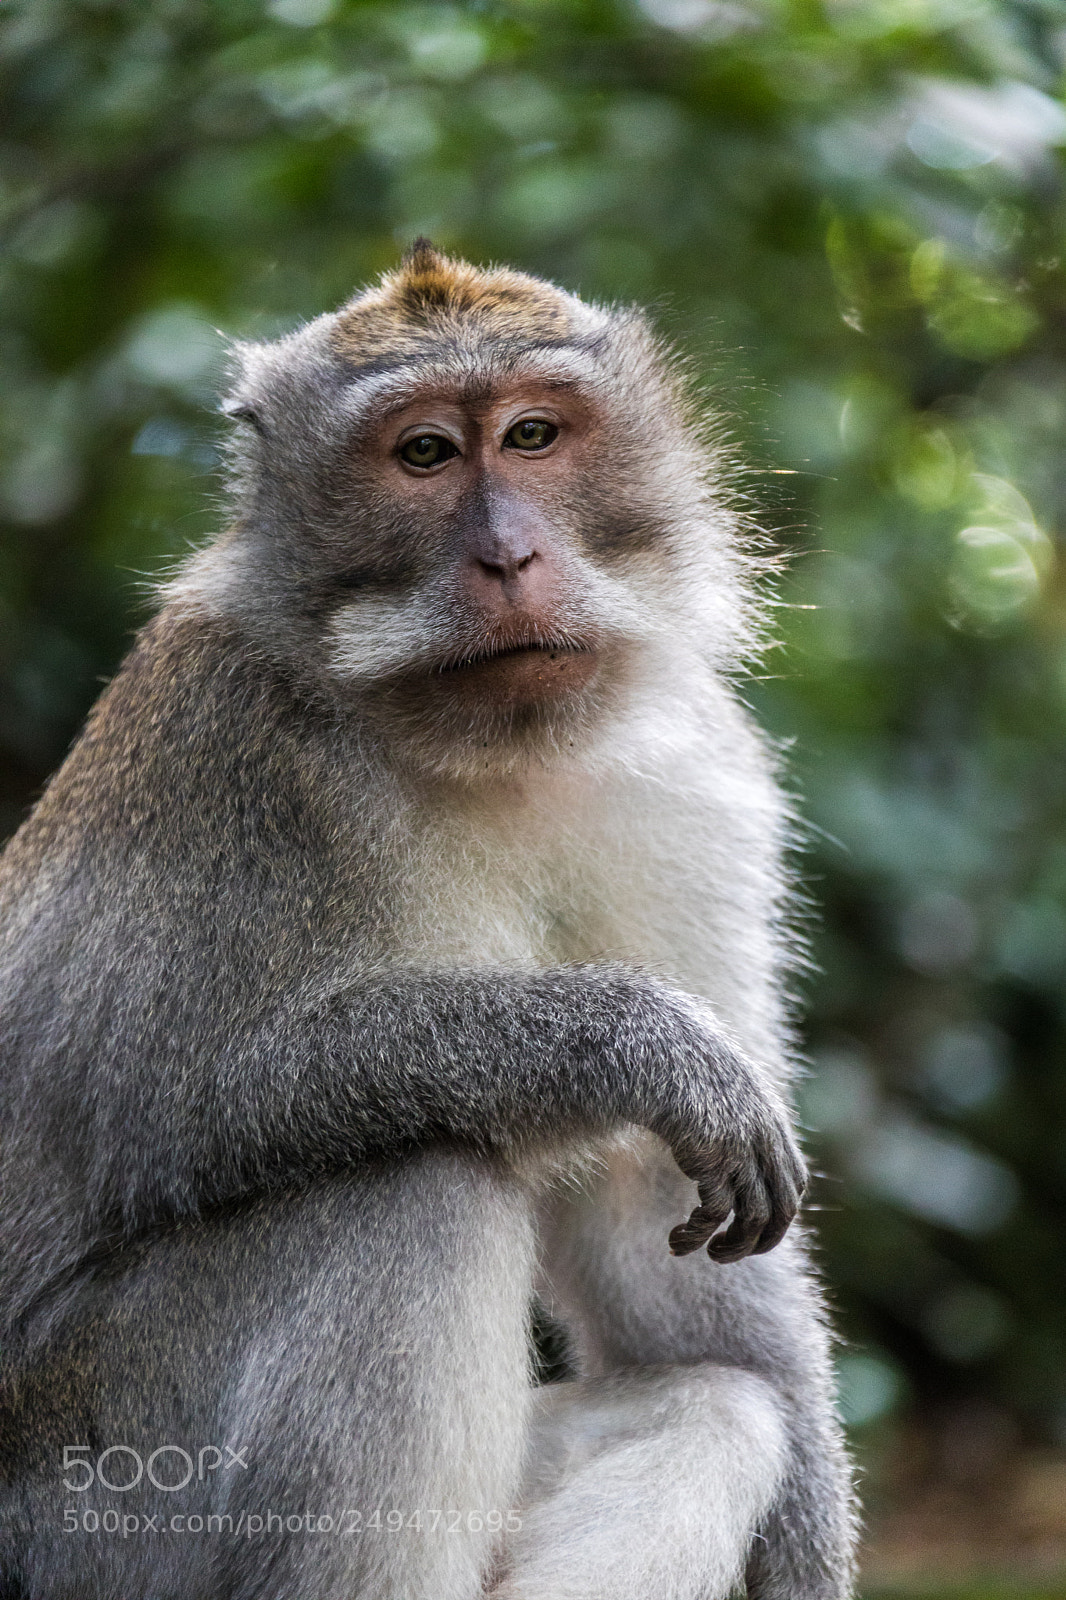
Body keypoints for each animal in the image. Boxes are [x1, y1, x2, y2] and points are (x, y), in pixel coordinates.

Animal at [0, 242, 855, 1600]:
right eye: (424, 455)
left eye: (533, 434)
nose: (508, 558)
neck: (490, 753)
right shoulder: (239, 765)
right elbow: (173, 1107)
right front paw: (627, 1044)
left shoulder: (692, 784)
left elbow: (668, 1241)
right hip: (94, 1489)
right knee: (419, 1185)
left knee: (713, 1404)